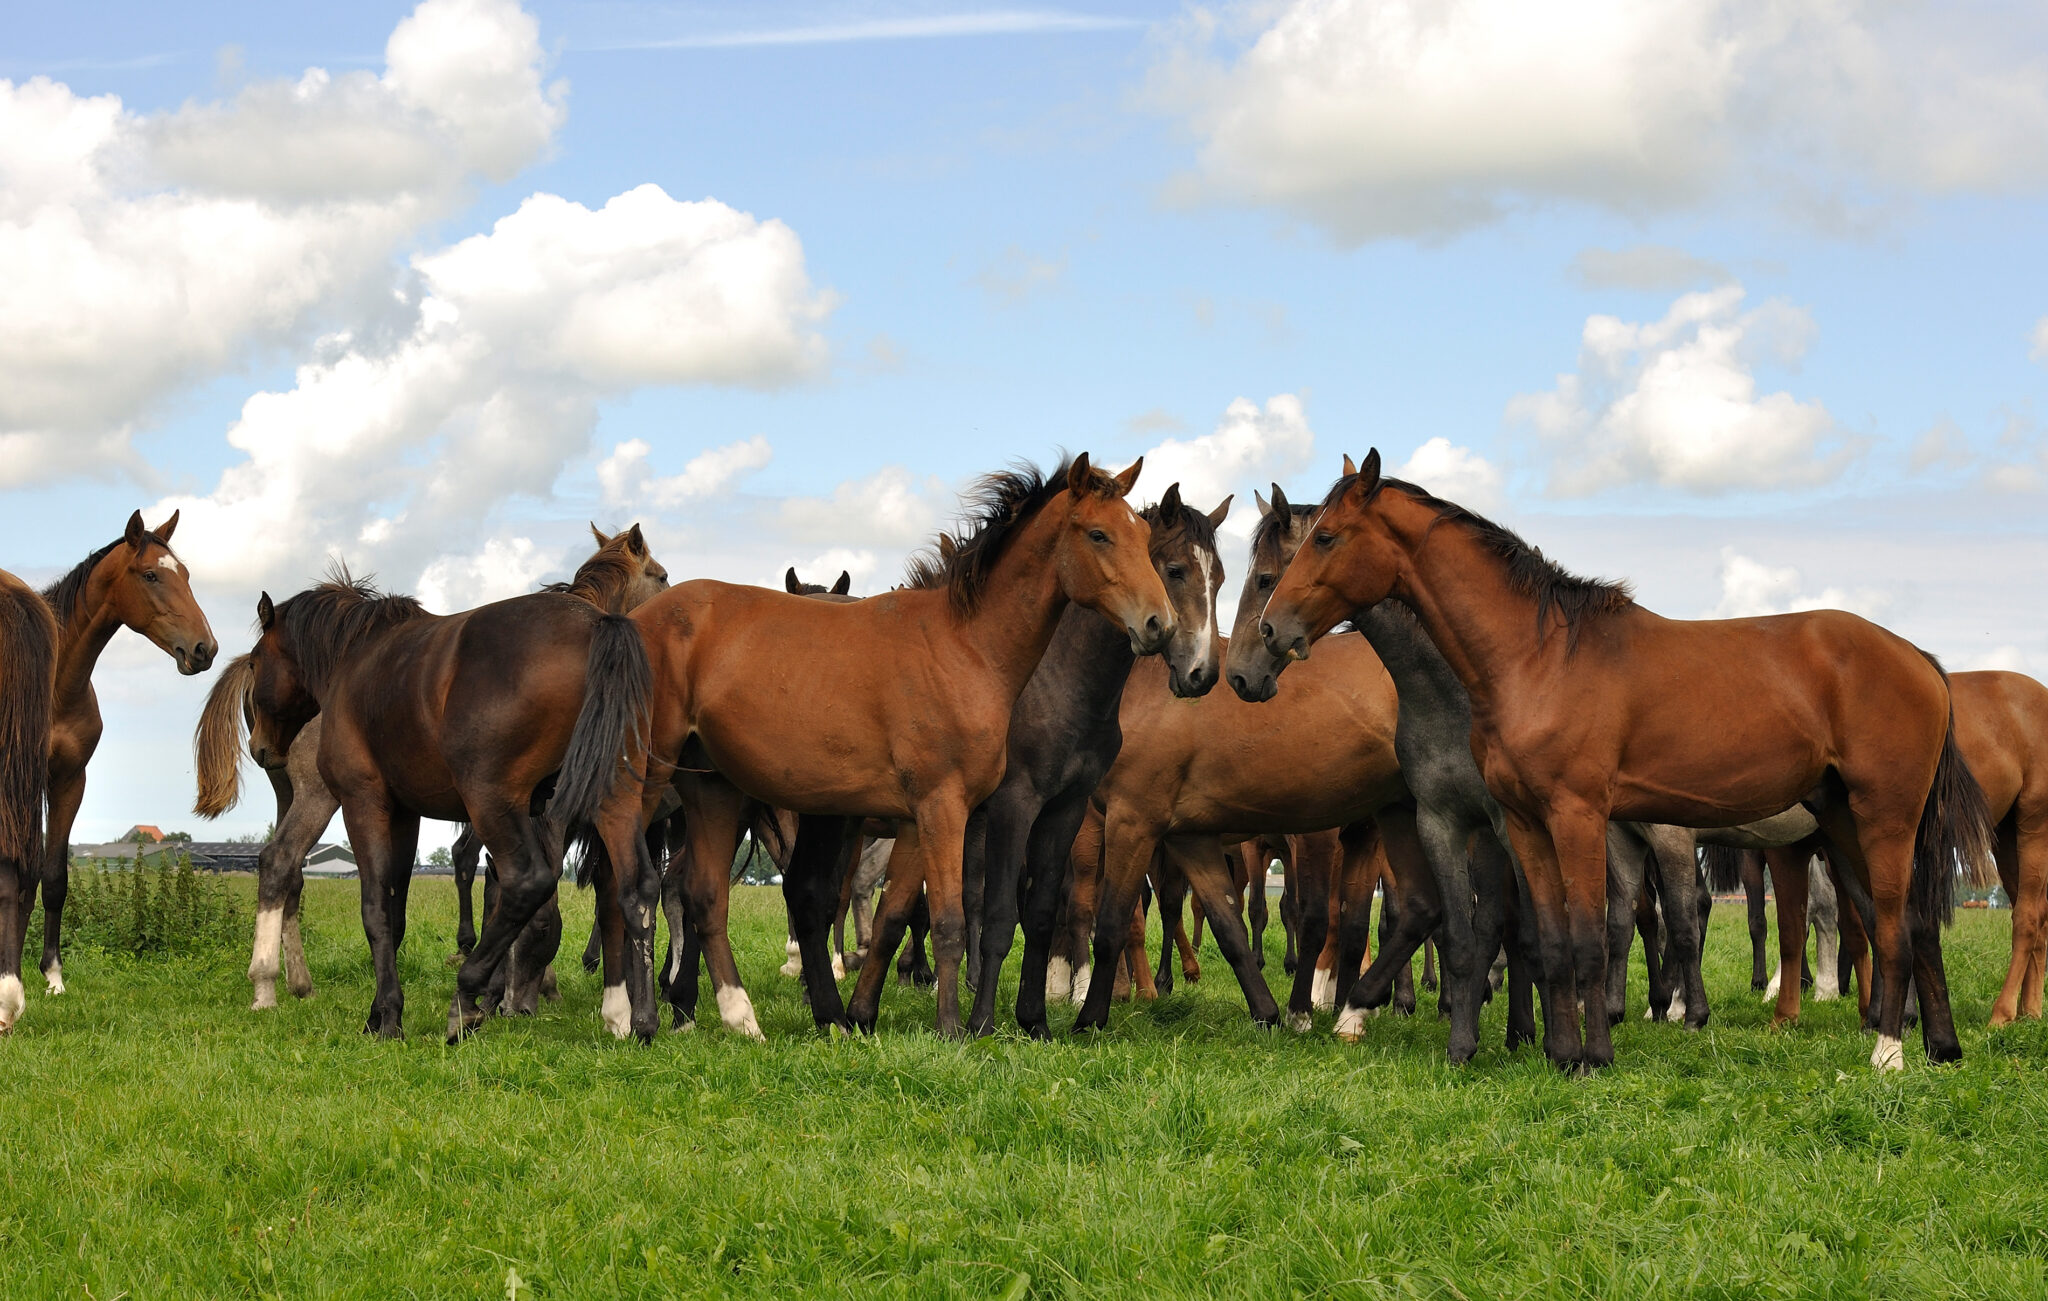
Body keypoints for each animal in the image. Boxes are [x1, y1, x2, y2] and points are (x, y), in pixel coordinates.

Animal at [28, 514, 218, 991]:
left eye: (186, 574)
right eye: (150, 575)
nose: (205, 648)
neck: (55, 682)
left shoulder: (68, 780)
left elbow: (53, 878)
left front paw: (53, 975)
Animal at [561, 452, 1179, 1044]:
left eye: (1143, 538)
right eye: (1098, 535)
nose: (1161, 625)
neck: (965, 646)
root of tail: (631, 621)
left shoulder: (930, 818)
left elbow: (902, 912)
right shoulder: (942, 808)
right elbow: (949, 921)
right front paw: (953, 1029)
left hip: (712, 789)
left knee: (705, 895)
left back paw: (740, 1020)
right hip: (645, 772)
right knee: (629, 883)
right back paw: (635, 1018)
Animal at [1253, 452, 1990, 1073]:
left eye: (1326, 538)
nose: (1269, 630)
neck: (1539, 657)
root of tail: (1918, 658)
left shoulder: (1578, 816)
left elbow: (1589, 936)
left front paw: (1594, 1056)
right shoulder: (1523, 823)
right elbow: (1552, 940)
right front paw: (1558, 1050)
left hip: (1884, 820)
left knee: (1893, 926)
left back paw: (1889, 1052)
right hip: (1842, 822)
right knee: (1915, 924)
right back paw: (1940, 1046)